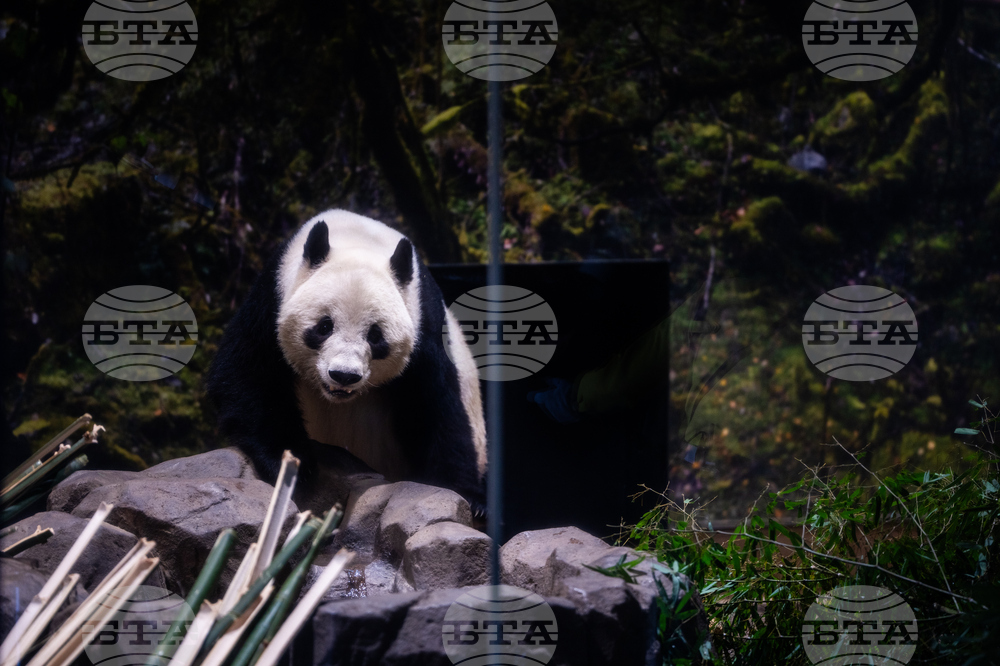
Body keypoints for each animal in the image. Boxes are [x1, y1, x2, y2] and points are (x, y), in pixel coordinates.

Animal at [207, 210, 487, 510]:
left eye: (375, 336)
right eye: (324, 326)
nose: (344, 375)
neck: (360, 240)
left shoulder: (423, 321)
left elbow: (435, 407)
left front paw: (466, 495)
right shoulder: (273, 294)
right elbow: (247, 371)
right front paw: (293, 465)